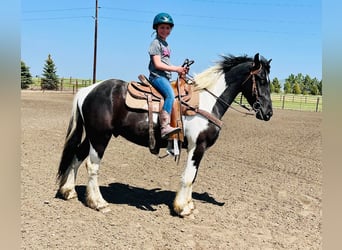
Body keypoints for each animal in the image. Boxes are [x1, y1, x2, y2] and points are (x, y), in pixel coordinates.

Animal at [57, 52, 274, 217]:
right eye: (261, 80)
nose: (268, 113)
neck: (207, 101)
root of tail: (88, 90)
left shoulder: (198, 149)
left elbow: (193, 177)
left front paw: (189, 205)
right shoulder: (198, 146)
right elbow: (188, 177)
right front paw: (182, 208)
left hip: (92, 135)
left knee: (76, 156)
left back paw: (68, 191)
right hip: (100, 136)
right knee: (92, 165)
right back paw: (98, 202)